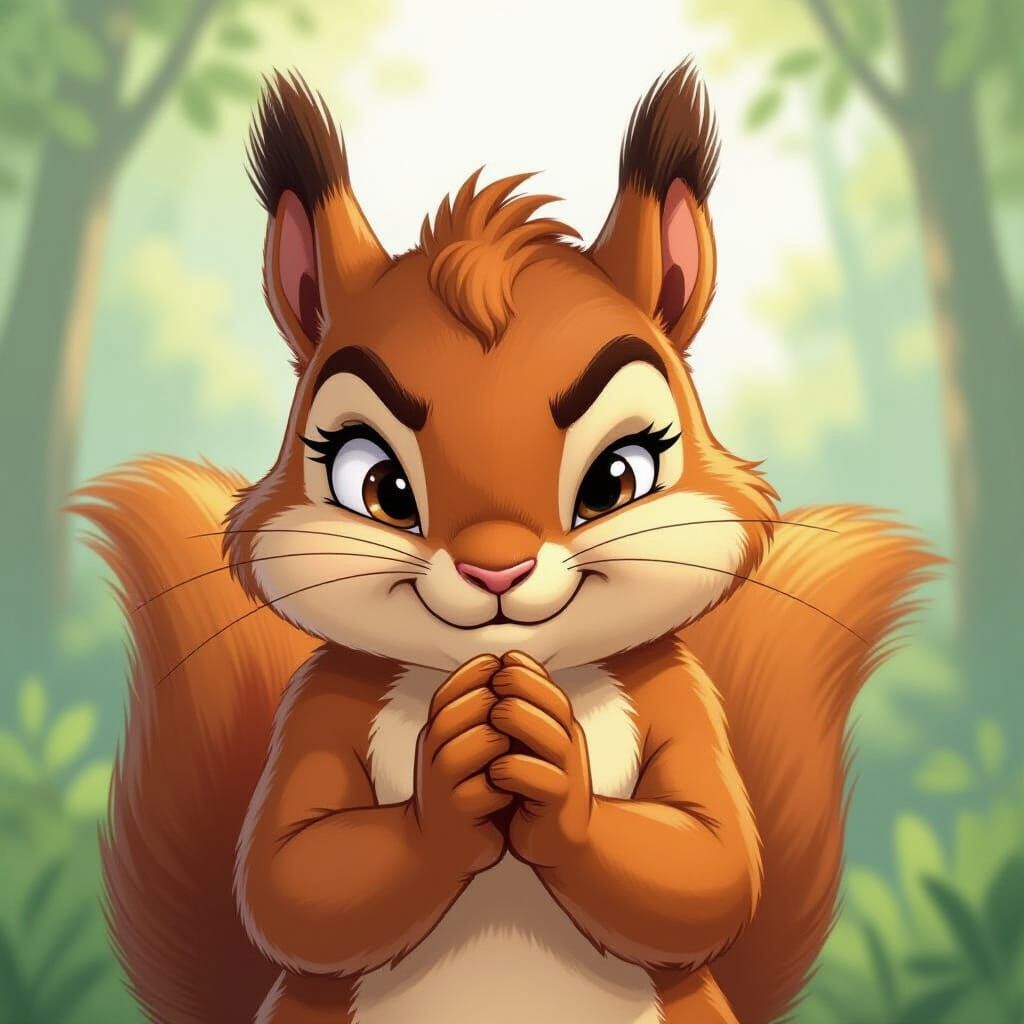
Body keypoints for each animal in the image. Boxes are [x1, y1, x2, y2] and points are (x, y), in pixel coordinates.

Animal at [74, 63, 935, 1024]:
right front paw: (448, 784)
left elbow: (709, 862)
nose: (496, 566)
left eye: (619, 477)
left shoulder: (678, 694)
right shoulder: (320, 699)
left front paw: (553, 766)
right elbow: (291, 877)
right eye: (376, 485)